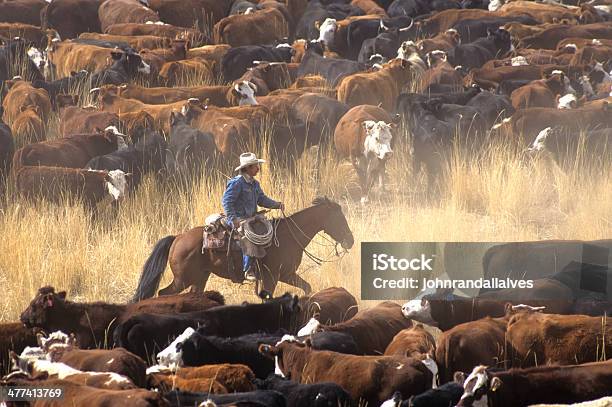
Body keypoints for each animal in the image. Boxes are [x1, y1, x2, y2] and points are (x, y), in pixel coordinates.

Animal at [133, 196, 354, 302]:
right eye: (339, 219)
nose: (351, 241)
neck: (288, 237)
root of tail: (178, 237)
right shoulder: (272, 276)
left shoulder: (287, 274)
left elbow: (307, 287)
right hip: (183, 279)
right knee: (163, 293)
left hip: (199, 278)